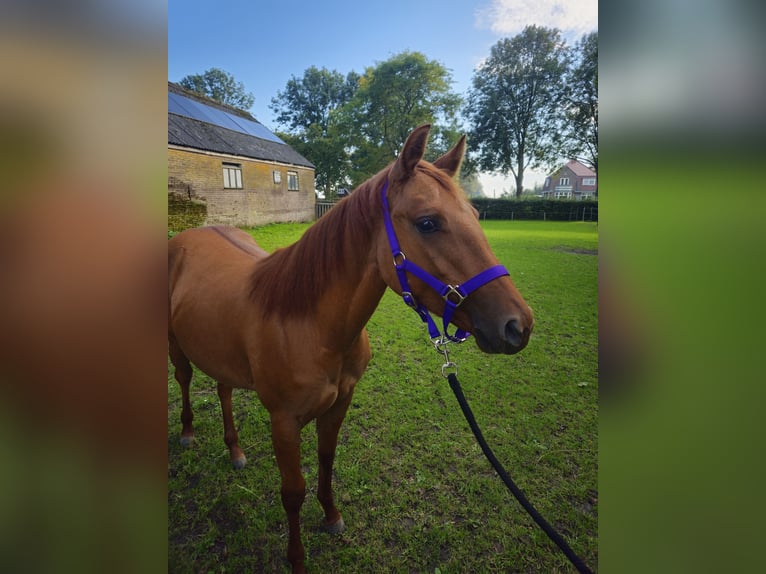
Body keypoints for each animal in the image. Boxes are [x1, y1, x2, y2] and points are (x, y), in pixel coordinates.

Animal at [168, 124, 534, 573]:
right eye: (428, 222)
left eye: (478, 217)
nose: (518, 325)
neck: (311, 325)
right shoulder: (284, 422)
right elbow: (292, 491)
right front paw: (297, 559)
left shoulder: (340, 403)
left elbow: (327, 460)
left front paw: (331, 516)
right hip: (176, 347)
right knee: (185, 380)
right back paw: (186, 433)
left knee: (223, 390)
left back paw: (235, 450)